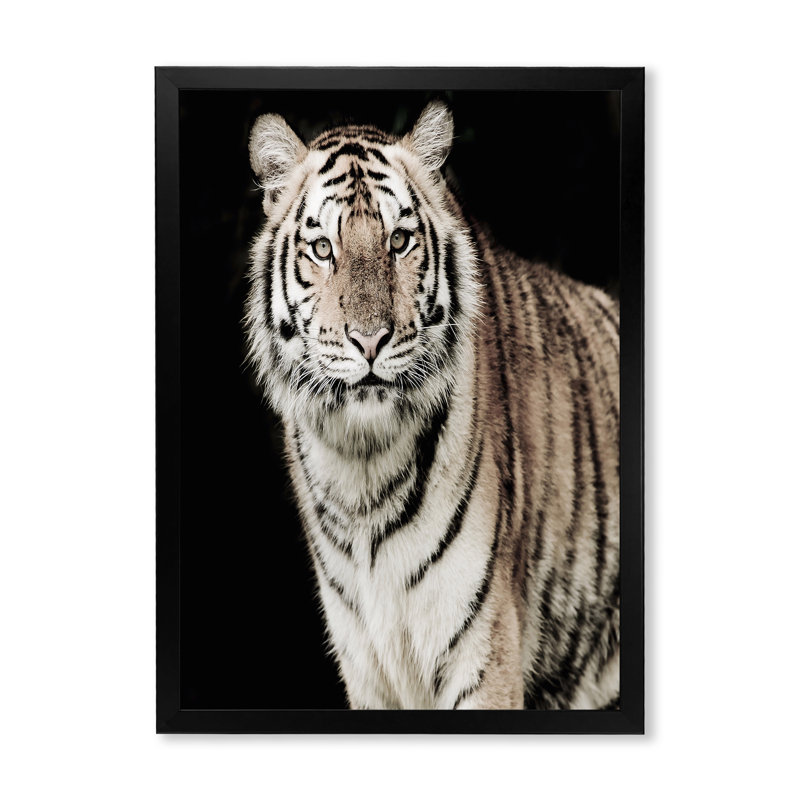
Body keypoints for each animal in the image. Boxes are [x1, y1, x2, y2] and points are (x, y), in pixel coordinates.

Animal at [244, 101, 620, 710]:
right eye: (323, 249)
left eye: (399, 241)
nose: (369, 340)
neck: (361, 470)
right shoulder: (365, 666)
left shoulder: (482, 652)